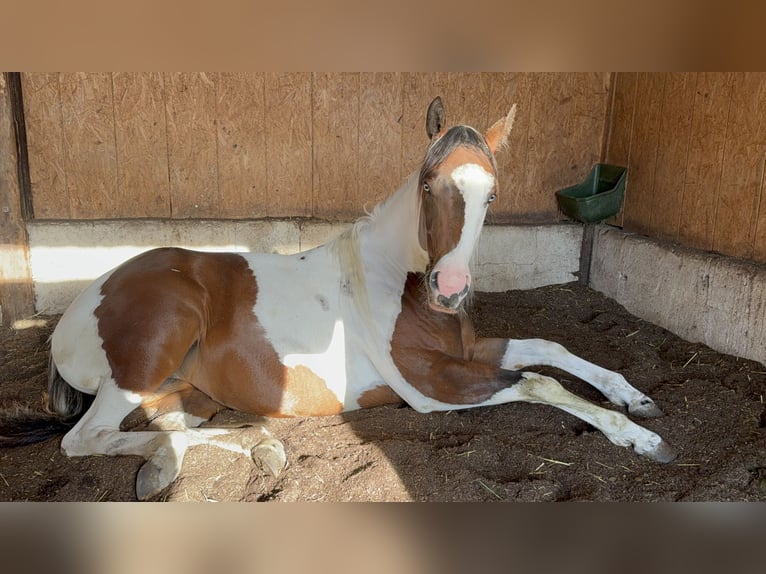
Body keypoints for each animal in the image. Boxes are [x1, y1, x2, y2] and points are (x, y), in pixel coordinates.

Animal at [0, 97, 676, 500]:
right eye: (428, 183)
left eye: (492, 192)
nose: (451, 290)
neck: (394, 282)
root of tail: (71, 322)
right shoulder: (431, 387)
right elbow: (541, 381)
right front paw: (639, 440)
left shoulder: (469, 353)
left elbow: (550, 348)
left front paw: (634, 398)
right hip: (150, 353)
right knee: (85, 439)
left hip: (185, 391)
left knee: (172, 424)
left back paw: (247, 450)